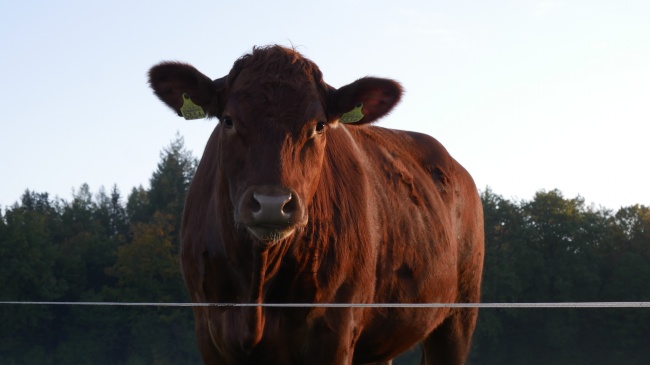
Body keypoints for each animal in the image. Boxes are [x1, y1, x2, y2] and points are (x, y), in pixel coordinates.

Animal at [147, 45, 480, 364]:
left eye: (319, 126)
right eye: (228, 120)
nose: (272, 203)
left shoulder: (334, 331)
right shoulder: (210, 332)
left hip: (459, 317)